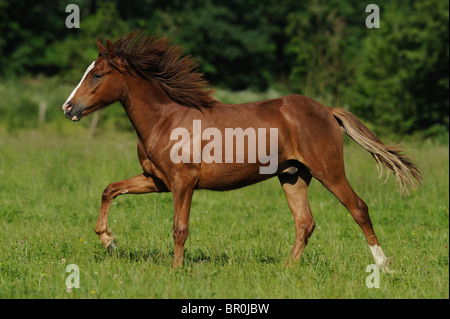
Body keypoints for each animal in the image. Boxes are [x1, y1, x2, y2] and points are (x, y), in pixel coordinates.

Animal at [61, 33, 420, 272]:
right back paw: (286, 270)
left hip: (328, 170)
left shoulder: (183, 183)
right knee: (305, 223)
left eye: (97, 74)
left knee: (358, 208)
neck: (166, 120)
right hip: (293, 176)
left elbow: (179, 228)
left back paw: (384, 266)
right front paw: (109, 241)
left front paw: (176, 271)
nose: (68, 108)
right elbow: (110, 190)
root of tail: (327, 110)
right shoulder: (157, 180)